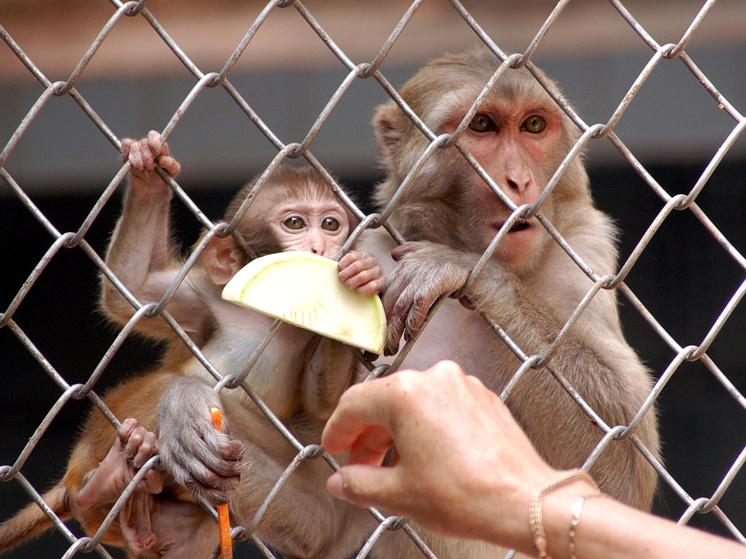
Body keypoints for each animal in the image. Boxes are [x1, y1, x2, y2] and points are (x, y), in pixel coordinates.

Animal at [0, 133, 380, 556]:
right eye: (295, 223)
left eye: (331, 224)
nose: (320, 248)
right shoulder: (207, 299)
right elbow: (134, 293)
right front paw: (148, 174)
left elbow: (323, 403)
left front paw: (362, 276)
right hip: (98, 439)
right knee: (163, 389)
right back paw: (110, 475)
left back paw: (122, 500)